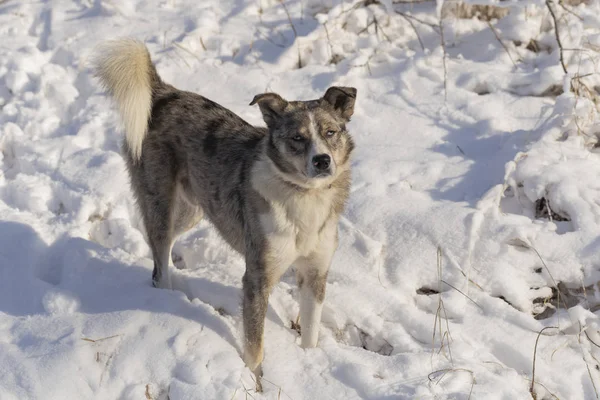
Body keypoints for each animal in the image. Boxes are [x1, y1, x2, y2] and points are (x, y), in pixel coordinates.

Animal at [92, 38, 356, 388]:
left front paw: (310, 363)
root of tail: (163, 92)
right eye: (297, 138)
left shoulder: (315, 273)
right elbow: (255, 345)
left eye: (330, 132)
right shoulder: (257, 277)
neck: (303, 196)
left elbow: (310, 332)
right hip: (160, 203)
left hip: (192, 209)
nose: (322, 161)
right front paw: (255, 383)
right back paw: (168, 299)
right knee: (158, 263)